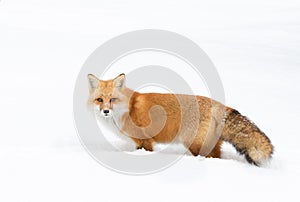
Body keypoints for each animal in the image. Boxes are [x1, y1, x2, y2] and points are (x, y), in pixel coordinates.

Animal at [87, 72, 274, 166]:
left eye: (112, 99)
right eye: (99, 100)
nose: (105, 111)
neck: (127, 109)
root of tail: (218, 104)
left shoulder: (145, 140)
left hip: (193, 143)